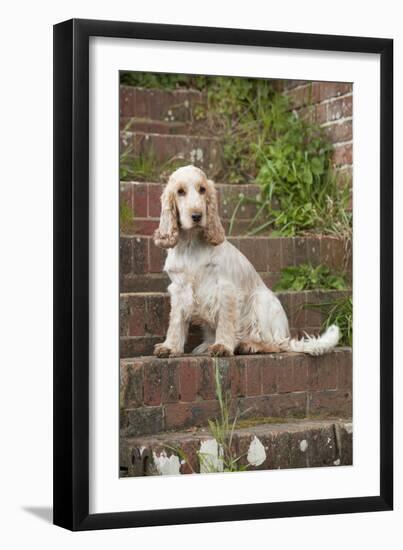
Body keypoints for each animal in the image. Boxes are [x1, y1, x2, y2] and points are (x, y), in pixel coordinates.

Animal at [153, 166, 340, 360]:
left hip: (261, 301)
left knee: (275, 344)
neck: (191, 243)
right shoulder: (179, 289)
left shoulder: (226, 290)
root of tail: (286, 336)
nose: (197, 216)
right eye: (180, 191)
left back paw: (249, 345)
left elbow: (226, 322)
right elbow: (176, 322)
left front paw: (222, 346)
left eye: (202, 189)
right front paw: (170, 347)